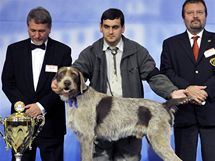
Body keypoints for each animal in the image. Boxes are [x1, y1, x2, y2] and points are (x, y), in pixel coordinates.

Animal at [53, 66, 186, 160]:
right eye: (61, 74)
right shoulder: (84, 139)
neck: (77, 96)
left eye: (74, 75)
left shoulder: (87, 137)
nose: (67, 83)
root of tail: (164, 105)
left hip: (159, 141)